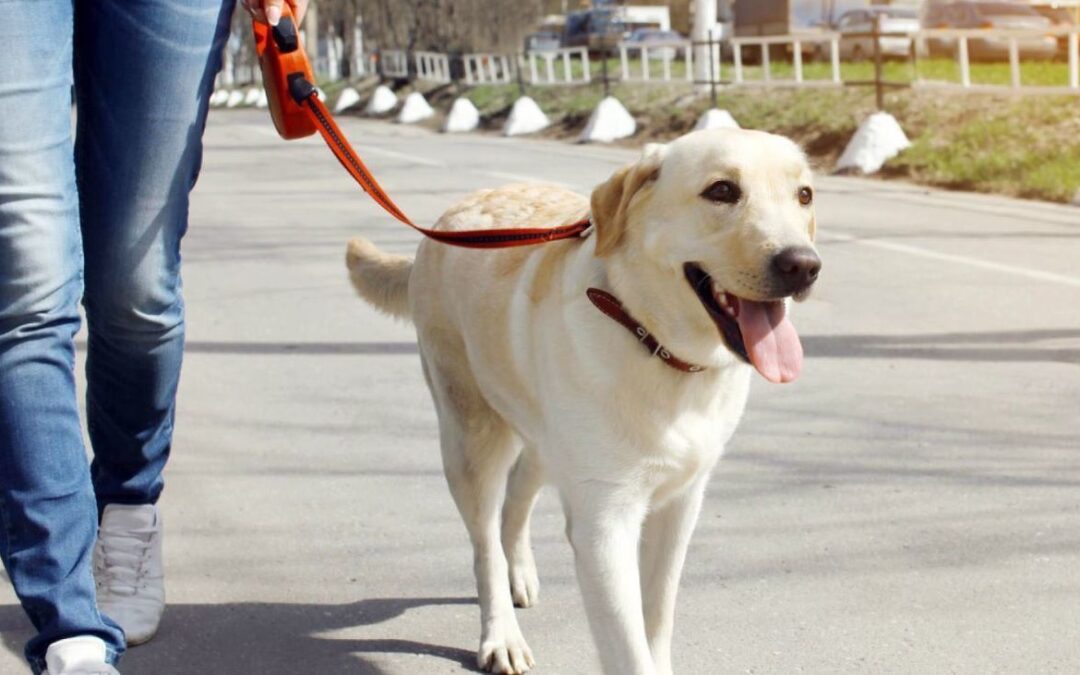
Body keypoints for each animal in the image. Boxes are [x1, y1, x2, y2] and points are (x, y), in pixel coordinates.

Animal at [345, 127, 816, 673]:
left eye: (804, 195)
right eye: (722, 191)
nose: (804, 265)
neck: (652, 342)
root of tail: (444, 222)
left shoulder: (681, 505)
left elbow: (658, 616)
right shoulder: (604, 525)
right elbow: (629, 650)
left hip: (544, 437)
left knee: (518, 496)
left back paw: (519, 571)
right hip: (470, 437)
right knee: (484, 543)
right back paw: (501, 633)